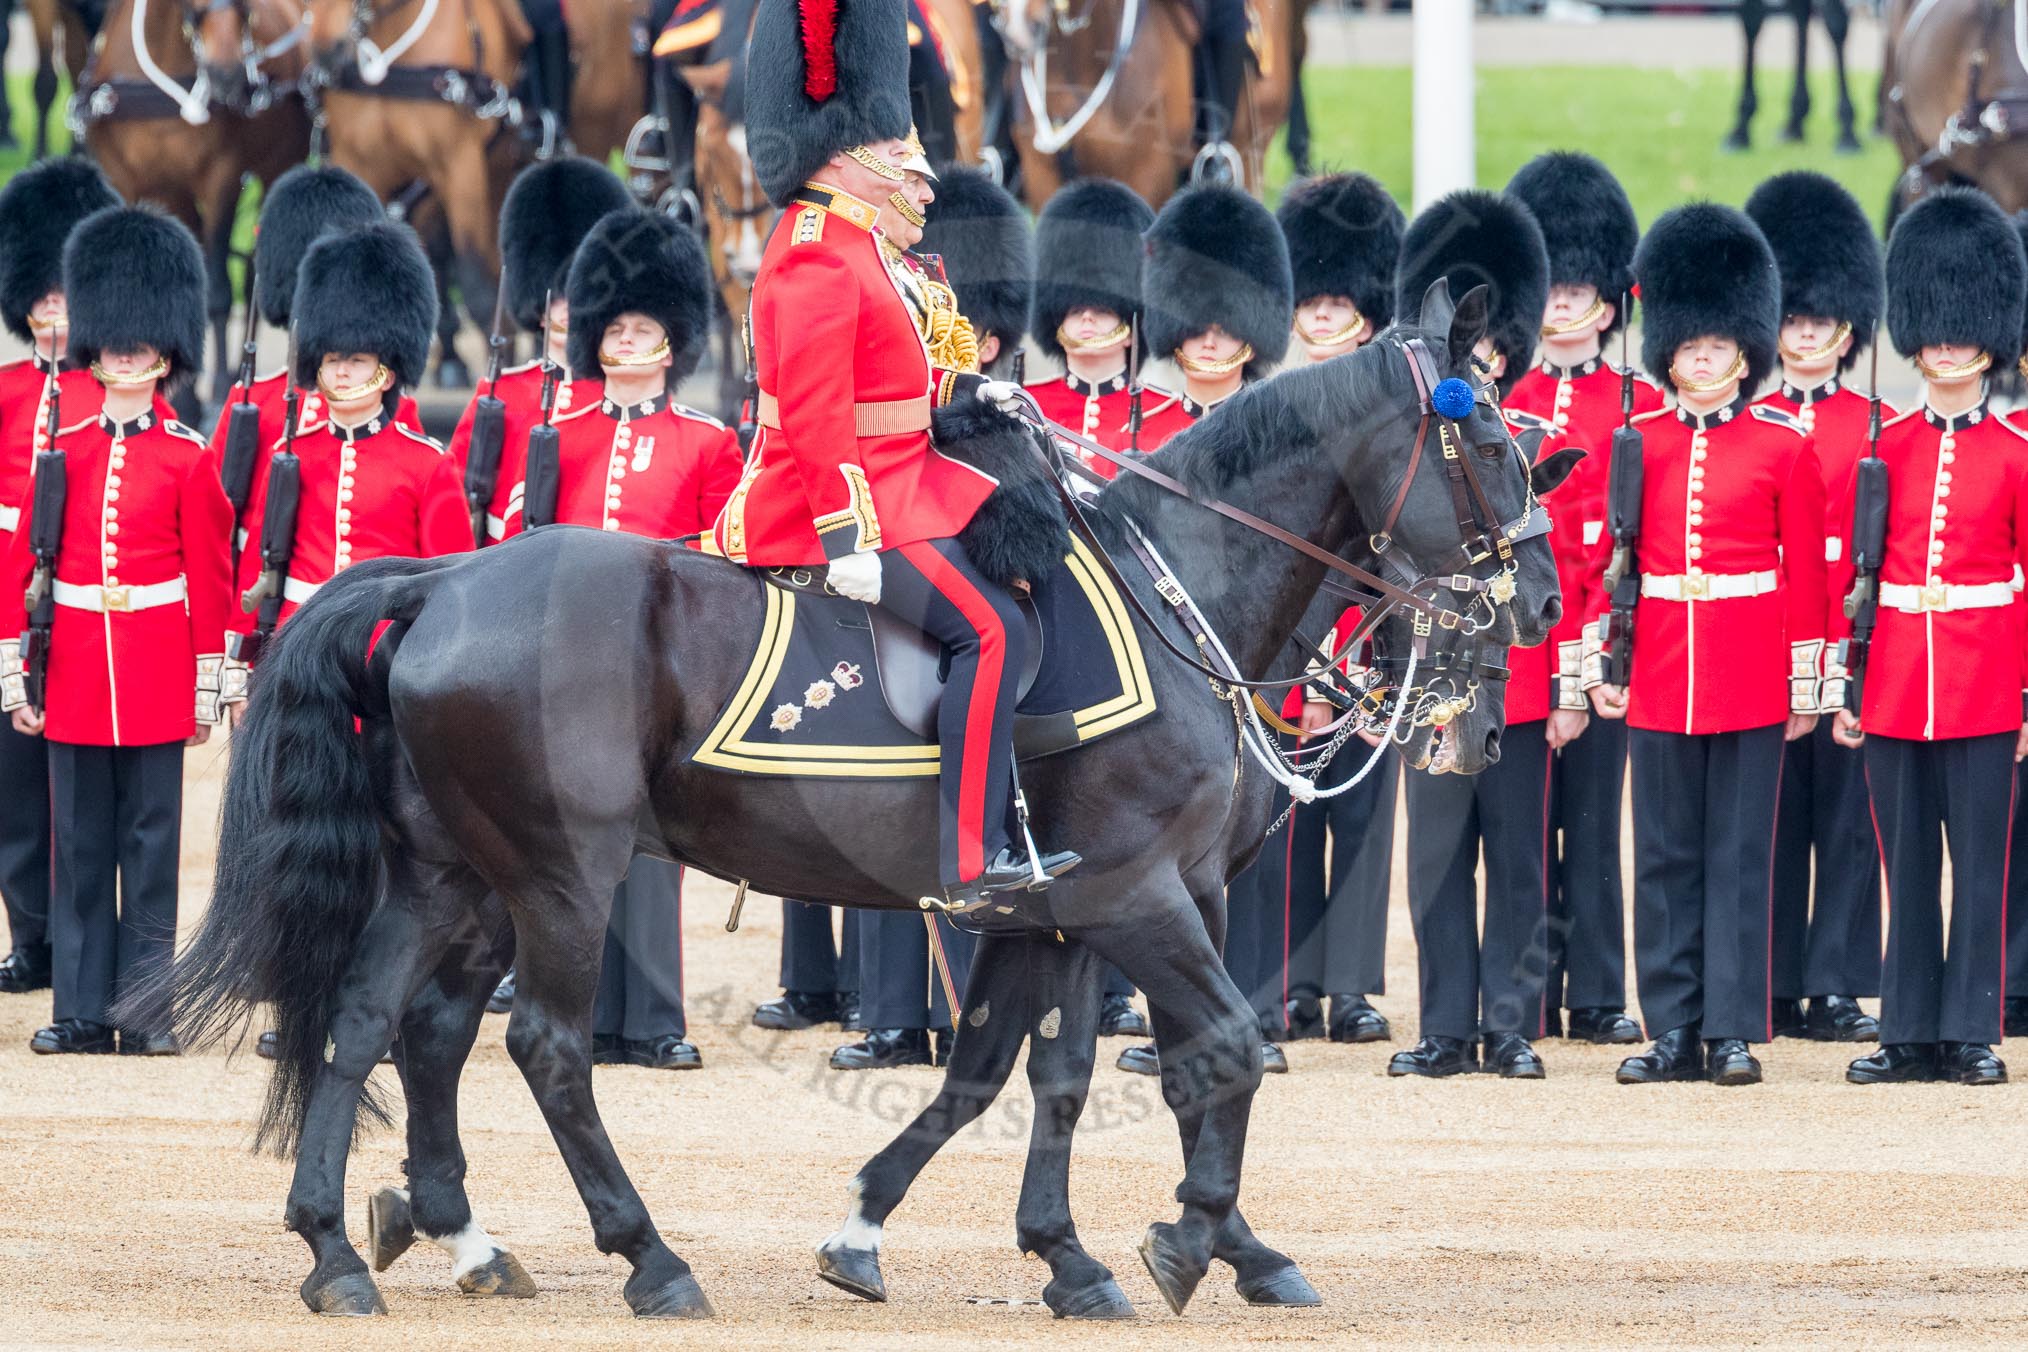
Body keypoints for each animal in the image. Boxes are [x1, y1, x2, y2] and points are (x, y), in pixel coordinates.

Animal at [79, 0, 312, 408]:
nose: (226, 74)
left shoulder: (220, 180)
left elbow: (217, 291)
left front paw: (215, 389)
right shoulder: (137, 183)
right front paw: (182, 394)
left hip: (280, 165)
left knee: (253, 270)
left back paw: (237, 372)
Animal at [128, 282, 1567, 1321]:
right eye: (1498, 443)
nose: (1544, 602)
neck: (1183, 592)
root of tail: (440, 580)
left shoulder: (1060, 912)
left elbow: (1025, 1074)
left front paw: (1027, 1244)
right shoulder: (1139, 894)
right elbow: (1211, 1050)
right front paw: (1188, 1236)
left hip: (455, 874)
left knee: (379, 1022)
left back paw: (362, 1243)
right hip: (559, 875)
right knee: (538, 1046)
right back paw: (644, 1255)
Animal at [1725, 0, 1860, 153]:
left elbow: (1836, 24)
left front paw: (1847, 132)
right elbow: (1751, 20)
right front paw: (1740, 129)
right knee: (1801, 12)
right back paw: (1794, 122)